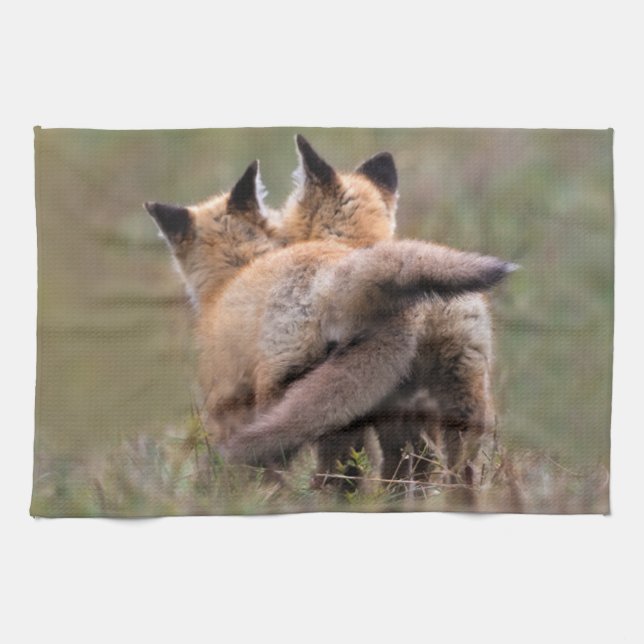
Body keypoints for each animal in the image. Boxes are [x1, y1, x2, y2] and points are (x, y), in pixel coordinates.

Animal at [146, 139, 514, 480]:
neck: (235, 273)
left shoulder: (226, 396)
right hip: (448, 402)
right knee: (437, 473)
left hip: (294, 397)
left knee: (307, 472)